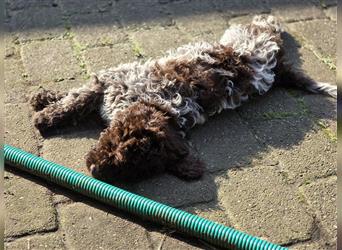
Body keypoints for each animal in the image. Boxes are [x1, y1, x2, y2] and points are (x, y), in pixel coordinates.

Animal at [30, 16, 336, 184]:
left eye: (136, 169)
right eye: (119, 143)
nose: (95, 171)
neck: (159, 106)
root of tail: (277, 65)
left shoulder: (110, 84)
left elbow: (76, 99)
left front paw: (44, 113)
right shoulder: (110, 80)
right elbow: (74, 98)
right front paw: (44, 104)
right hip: (244, 34)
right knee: (266, 23)